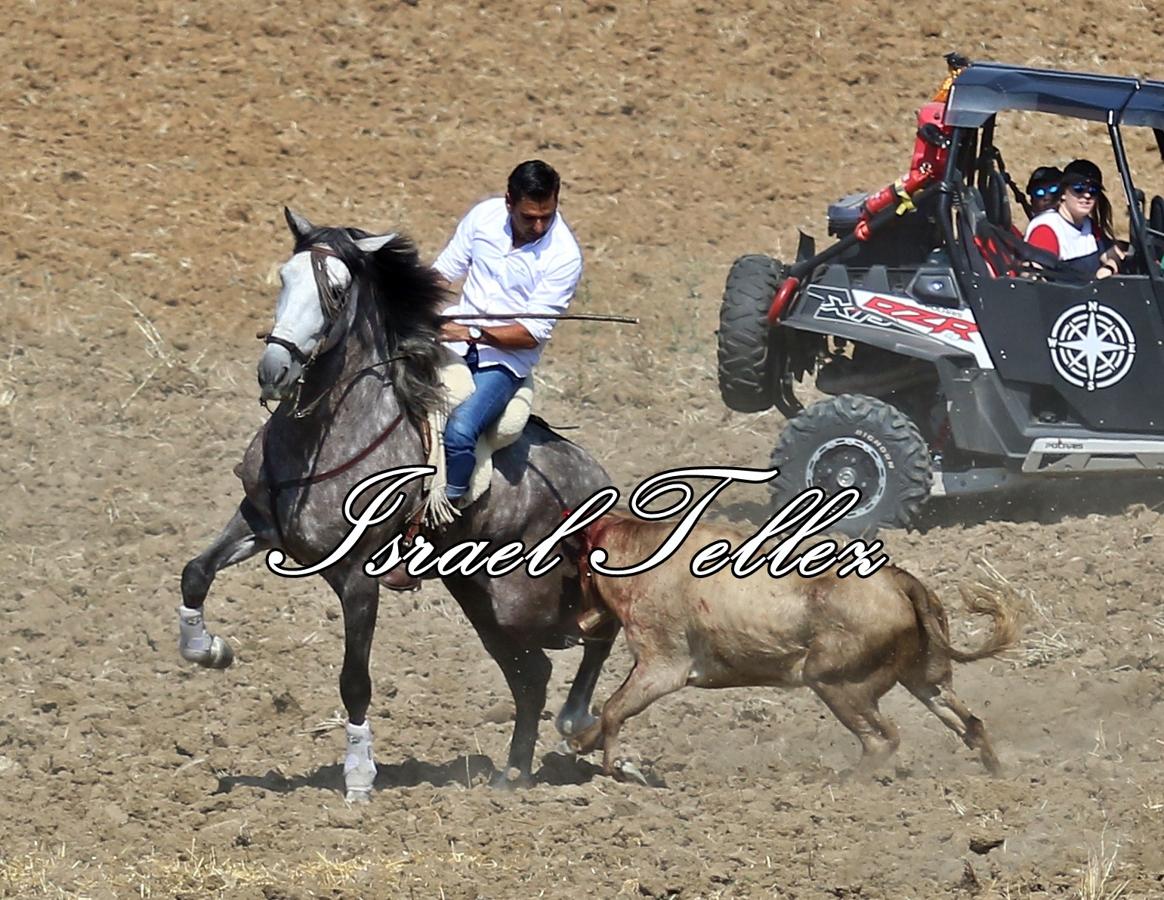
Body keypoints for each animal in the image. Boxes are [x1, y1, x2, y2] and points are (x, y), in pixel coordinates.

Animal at [176, 210, 614, 801]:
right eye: (286, 277)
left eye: (337, 292)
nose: (273, 372)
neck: (328, 432)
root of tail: (596, 476)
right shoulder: (258, 522)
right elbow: (196, 573)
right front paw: (208, 649)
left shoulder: (359, 576)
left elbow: (354, 680)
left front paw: (359, 777)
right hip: (484, 603)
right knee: (533, 676)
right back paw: (512, 773)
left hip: (527, 602)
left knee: (595, 632)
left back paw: (576, 722)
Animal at [570, 512, 1019, 777]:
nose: (579, 620)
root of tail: (900, 581)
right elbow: (608, 711)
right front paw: (579, 744)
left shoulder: (662, 665)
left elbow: (614, 708)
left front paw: (612, 769)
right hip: (925, 676)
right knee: (968, 722)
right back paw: (996, 772)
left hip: (835, 682)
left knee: (884, 738)